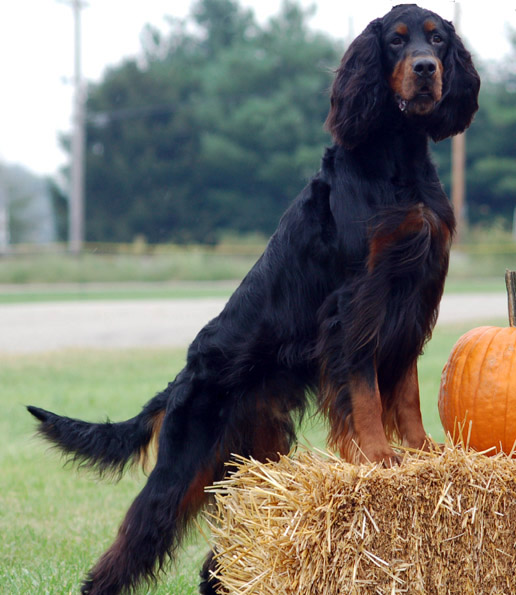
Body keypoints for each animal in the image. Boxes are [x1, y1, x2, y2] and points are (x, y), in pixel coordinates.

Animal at [28, 5, 480, 595]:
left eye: (439, 39)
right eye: (397, 42)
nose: (426, 69)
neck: (396, 161)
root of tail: (182, 377)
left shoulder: (414, 298)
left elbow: (403, 389)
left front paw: (423, 451)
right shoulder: (354, 304)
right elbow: (363, 391)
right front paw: (379, 457)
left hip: (253, 459)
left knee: (224, 549)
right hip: (186, 459)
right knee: (133, 539)